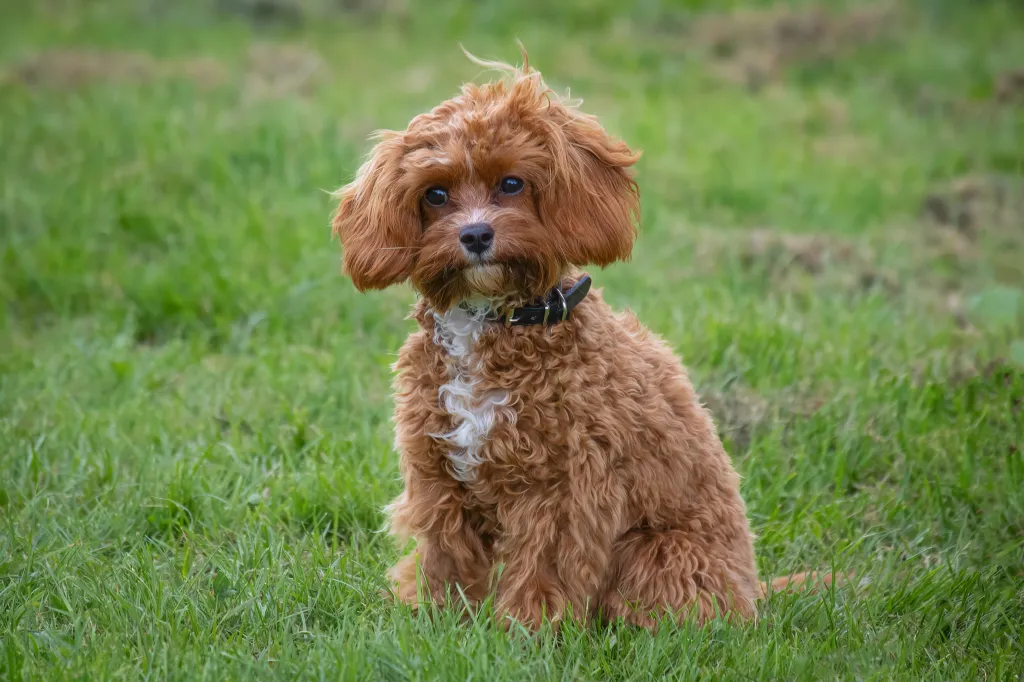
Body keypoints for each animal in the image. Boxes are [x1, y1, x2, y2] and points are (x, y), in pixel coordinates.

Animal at [331, 50, 827, 630]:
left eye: (512, 184)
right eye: (435, 193)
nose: (475, 235)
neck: (495, 321)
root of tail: (754, 595)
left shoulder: (563, 488)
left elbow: (543, 570)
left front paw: (524, 630)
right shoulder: (439, 475)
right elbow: (446, 558)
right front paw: (441, 622)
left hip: (662, 555)